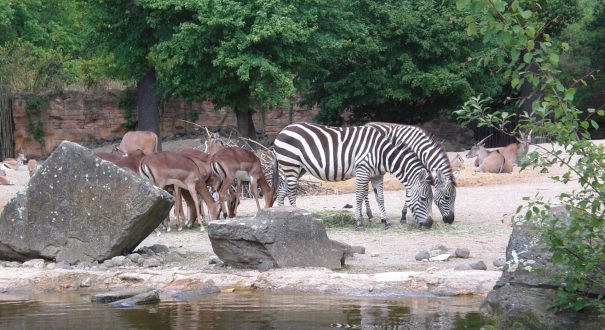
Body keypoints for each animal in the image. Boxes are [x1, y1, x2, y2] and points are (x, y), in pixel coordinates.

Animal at [272, 122, 432, 228]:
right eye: (424, 199)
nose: (430, 224)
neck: (382, 153)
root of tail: (284, 129)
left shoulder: (377, 175)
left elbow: (380, 198)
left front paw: (385, 221)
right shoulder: (362, 170)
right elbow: (359, 196)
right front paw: (359, 222)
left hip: (297, 168)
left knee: (281, 190)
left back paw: (282, 216)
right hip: (291, 164)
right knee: (291, 192)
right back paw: (296, 216)